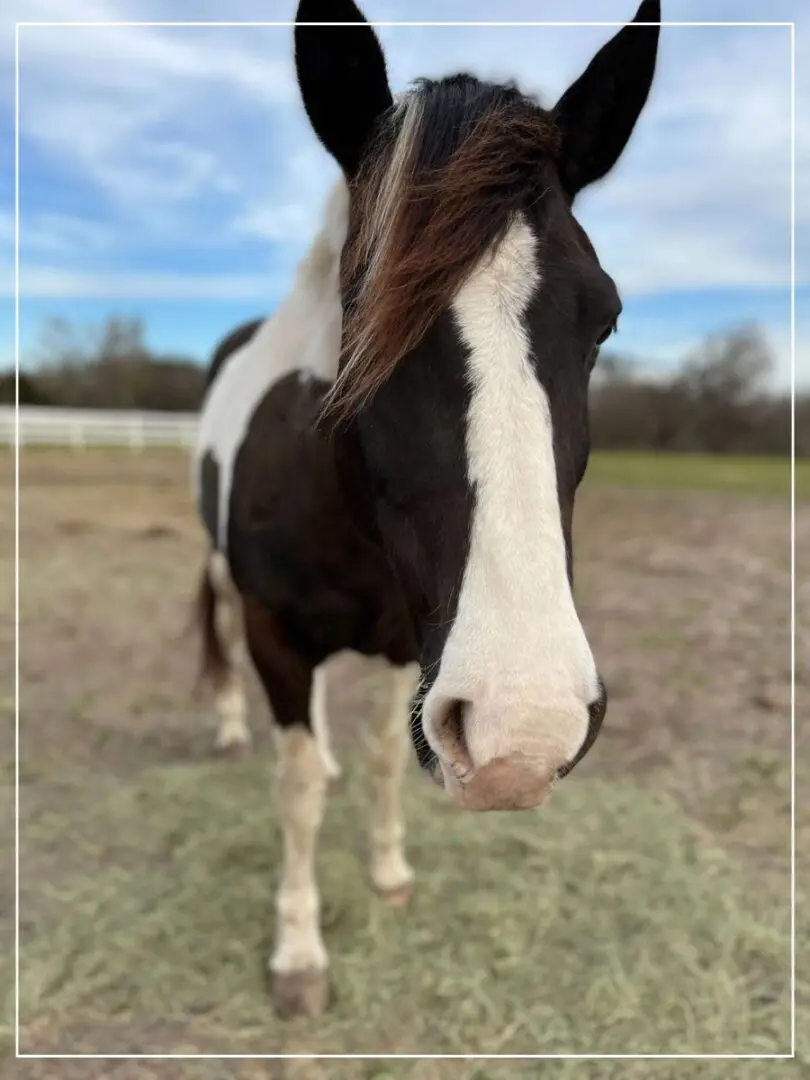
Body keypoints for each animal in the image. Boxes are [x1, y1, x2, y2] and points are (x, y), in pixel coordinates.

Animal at [193, 0, 660, 1019]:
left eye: (603, 317)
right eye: (361, 308)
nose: (527, 733)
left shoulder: (414, 647)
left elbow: (374, 759)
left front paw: (389, 873)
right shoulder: (277, 629)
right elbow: (294, 791)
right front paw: (298, 955)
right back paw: (230, 725)